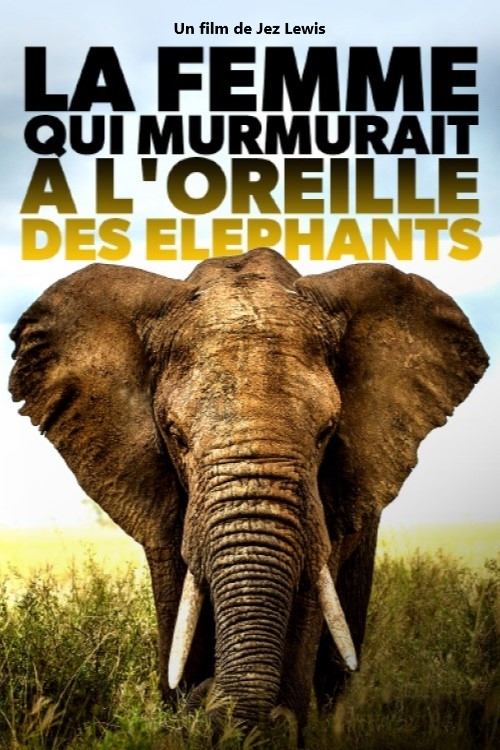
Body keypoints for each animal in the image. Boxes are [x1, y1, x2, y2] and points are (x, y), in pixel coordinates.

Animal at [9, 248, 488, 734]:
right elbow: (177, 599)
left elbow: (309, 598)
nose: (207, 698)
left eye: (326, 432)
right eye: (175, 436)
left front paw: (272, 725)